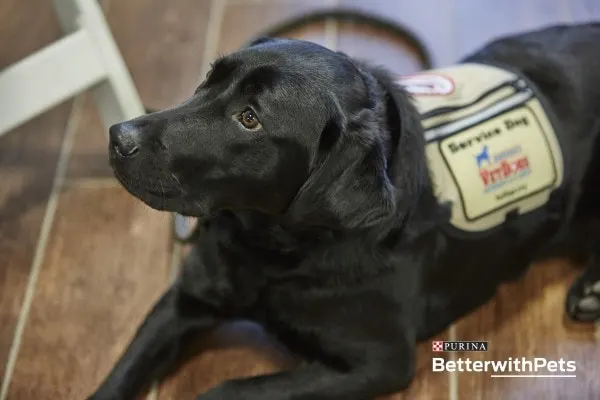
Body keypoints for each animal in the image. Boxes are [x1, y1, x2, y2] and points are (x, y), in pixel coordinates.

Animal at [89, 24, 600, 400]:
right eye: (207, 80)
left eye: (249, 118)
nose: (119, 137)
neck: (270, 250)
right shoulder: (185, 298)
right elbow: (122, 372)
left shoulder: (380, 361)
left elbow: (228, 390)